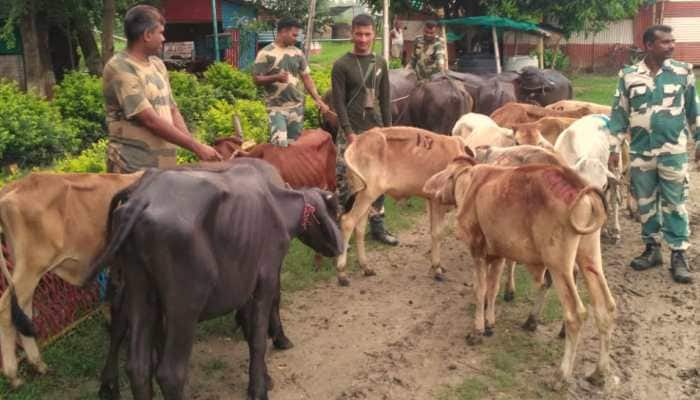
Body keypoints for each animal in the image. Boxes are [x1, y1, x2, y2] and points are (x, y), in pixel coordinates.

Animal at [87, 159, 344, 400]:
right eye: (335, 212)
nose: (338, 247)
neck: (277, 205)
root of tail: (143, 198)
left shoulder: (245, 279)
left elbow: (249, 324)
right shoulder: (268, 275)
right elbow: (260, 332)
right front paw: (262, 380)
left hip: (140, 289)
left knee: (137, 363)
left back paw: (110, 384)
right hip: (185, 304)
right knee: (170, 372)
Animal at [424, 159, 616, 388]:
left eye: (446, 172)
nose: (428, 186)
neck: (471, 185)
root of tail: (578, 185)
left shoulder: (477, 250)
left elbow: (480, 290)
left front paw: (477, 330)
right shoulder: (497, 255)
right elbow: (492, 289)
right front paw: (490, 324)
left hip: (559, 264)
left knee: (575, 314)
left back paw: (560, 375)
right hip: (589, 255)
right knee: (604, 307)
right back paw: (599, 372)